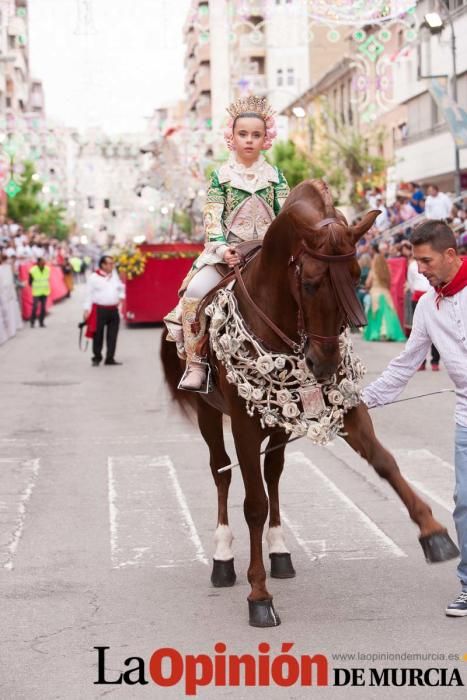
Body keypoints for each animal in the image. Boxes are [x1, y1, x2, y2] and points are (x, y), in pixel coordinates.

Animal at [160, 180, 458, 628]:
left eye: (356, 277)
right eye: (312, 282)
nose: (325, 362)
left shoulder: (343, 403)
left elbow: (384, 460)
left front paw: (433, 531)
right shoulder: (244, 424)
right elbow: (253, 505)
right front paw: (259, 595)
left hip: (277, 419)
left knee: (274, 473)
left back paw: (280, 552)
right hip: (210, 414)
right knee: (221, 472)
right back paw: (223, 557)